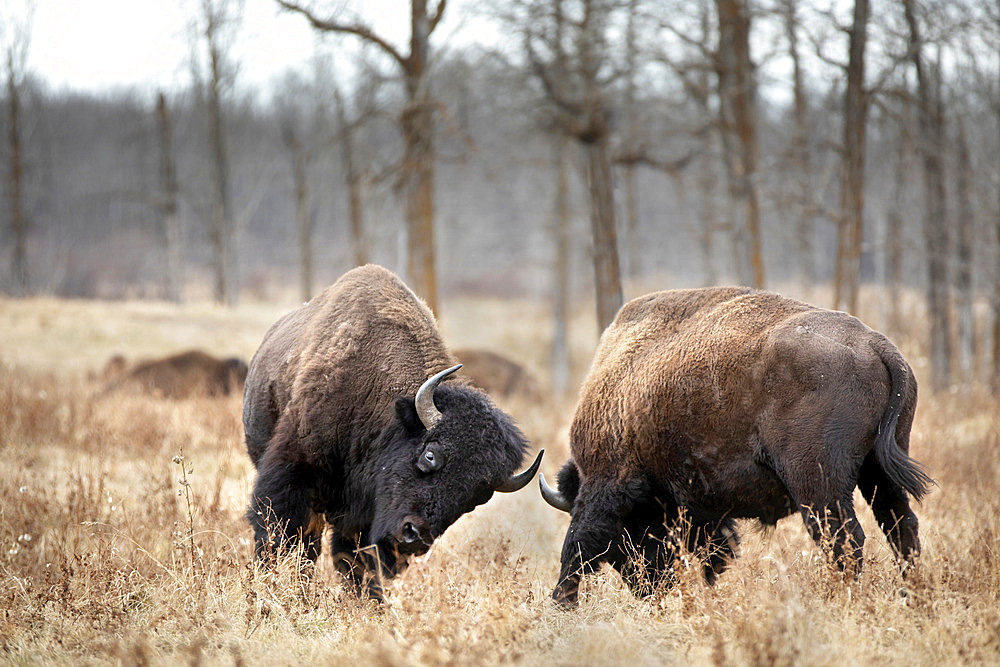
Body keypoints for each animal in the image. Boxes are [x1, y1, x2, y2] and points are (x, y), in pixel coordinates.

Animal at [241, 264, 544, 600]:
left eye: (478, 496)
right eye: (430, 455)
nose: (414, 536)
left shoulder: (363, 518)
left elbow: (357, 559)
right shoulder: (293, 472)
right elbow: (279, 532)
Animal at [540, 284, 928, 608]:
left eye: (627, 536)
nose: (647, 588)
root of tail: (876, 345)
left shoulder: (606, 480)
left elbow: (578, 544)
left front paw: (562, 603)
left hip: (819, 484)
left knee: (847, 541)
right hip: (880, 472)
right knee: (901, 528)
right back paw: (912, 597)